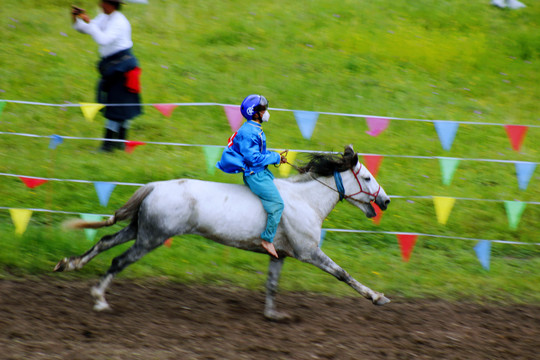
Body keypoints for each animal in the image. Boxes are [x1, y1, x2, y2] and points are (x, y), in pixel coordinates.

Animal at [54, 145, 390, 320]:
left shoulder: (280, 255)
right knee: (118, 261)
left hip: (139, 229)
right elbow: (343, 274)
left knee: (104, 241)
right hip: (152, 238)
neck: (305, 200)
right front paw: (378, 297)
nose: (385, 201)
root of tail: (154, 186)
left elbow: (272, 284)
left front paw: (273, 315)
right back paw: (99, 299)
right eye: (367, 177)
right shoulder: (309, 252)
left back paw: (68, 263)